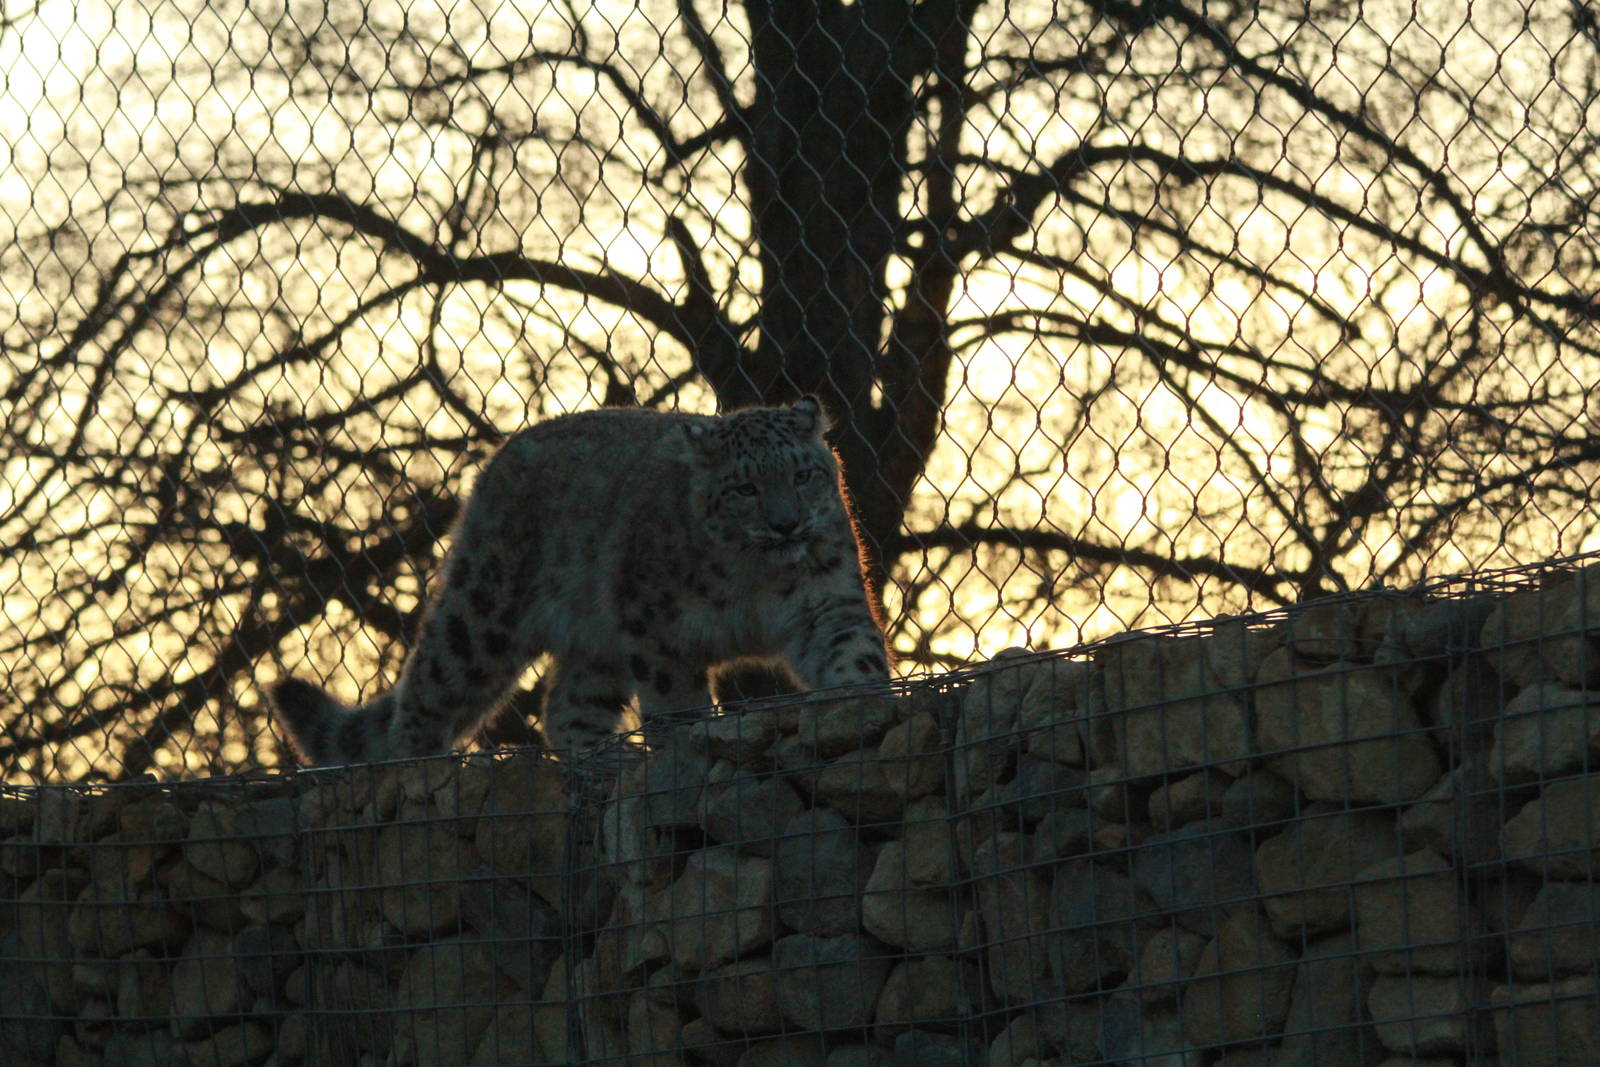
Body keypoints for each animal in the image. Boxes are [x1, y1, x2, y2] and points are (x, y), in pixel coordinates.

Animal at [270, 396, 890, 763]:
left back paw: (603, 757)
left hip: (599, 644)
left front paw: (860, 702)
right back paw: (418, 765)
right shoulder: (660, 632)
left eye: (803, 475)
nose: (787, 524)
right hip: (483, 616)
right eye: (746, 488)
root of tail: (500, 457)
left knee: (567, 705)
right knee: (430, 687)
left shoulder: (825, 601)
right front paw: (685, 744)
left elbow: (852, 650)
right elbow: (676, 700)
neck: (756, 580)